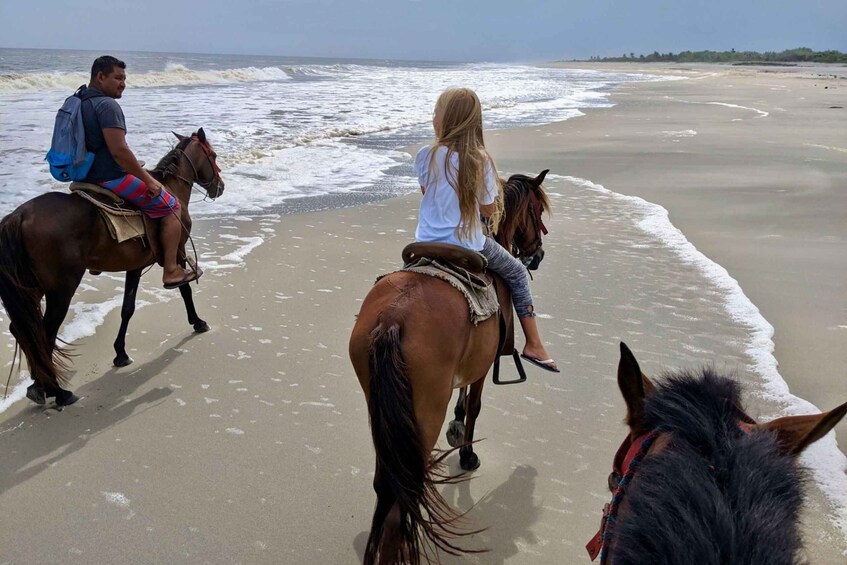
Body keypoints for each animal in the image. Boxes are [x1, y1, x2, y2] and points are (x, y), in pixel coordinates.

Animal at [0, 129, 225, 406]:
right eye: (213, 155)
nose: (220, 186)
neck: (172, 187)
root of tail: (20, 215)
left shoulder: (135, 266)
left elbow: (127, 309)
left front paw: (120, 353)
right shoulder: (179, 251)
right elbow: (184, 290)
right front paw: (198, 321)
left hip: (31, 288)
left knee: (24, 329)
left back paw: (38, 384)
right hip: (61, 288)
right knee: (45, 333)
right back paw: (58, 391)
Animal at [350, 169, 552, 564]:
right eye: (536, 211)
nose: (536, 255)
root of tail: (393, 316)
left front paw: (457, 429)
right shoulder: (483, 367)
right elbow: (474, 406)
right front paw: (468, 452)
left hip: (380, 410)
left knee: (386, 485)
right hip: (424, 410)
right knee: (401, 499)